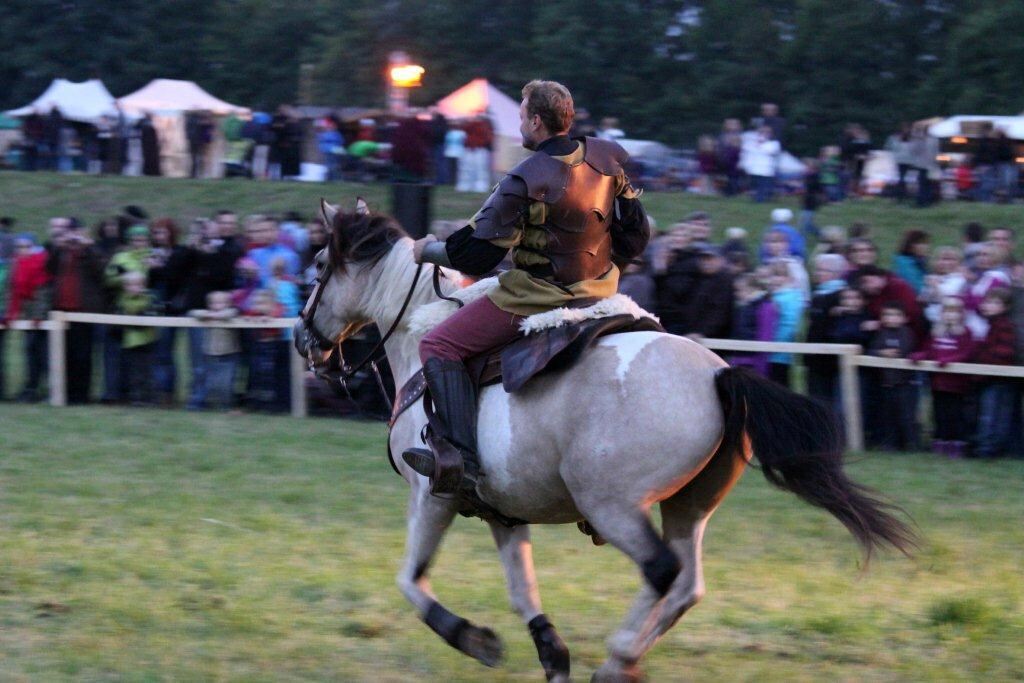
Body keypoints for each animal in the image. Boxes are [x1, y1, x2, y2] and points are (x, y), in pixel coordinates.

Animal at [294, 202, 913, 683]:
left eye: (320, 265)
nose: (303, 339)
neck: (418, 335)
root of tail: (719, 376)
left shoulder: (432, 494)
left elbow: (411, 579)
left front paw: (474, 639)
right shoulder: (499, 510)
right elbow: (522, 590)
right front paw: (551, 653)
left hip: (612, 506)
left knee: (662, 572)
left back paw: (618, 658)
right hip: (689, 506)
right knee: (686, 586)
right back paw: (624, 658)